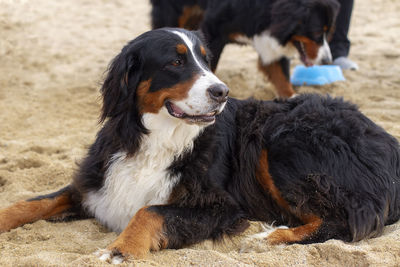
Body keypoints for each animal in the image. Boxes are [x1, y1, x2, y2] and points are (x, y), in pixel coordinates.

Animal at [0, 28, 400, 264]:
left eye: (206, 60)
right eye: (176, 61)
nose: (221, 91)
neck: (159, 139)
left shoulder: (222, 207)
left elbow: (149, 212)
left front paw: (120, 249)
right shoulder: (95, 182)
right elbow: (30, 202)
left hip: (282, 143)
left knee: (346, 221)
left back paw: (268, 238)